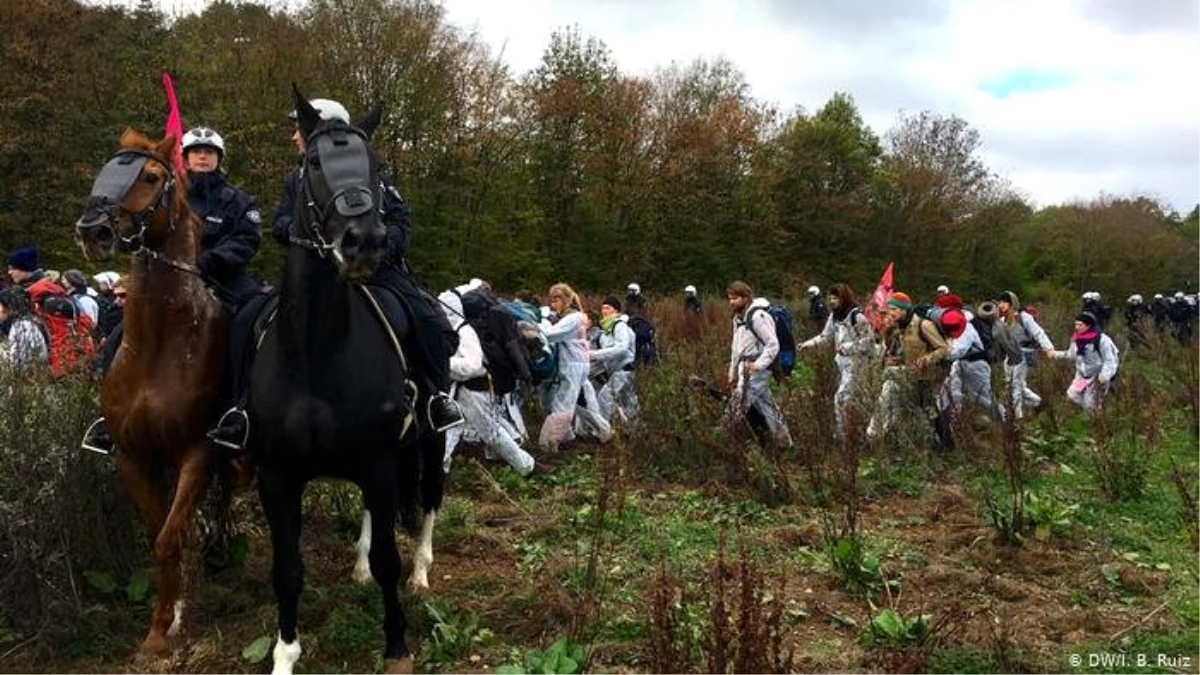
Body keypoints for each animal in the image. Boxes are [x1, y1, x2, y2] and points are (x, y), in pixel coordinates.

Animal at [74, 128, 229, 653]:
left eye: (151, 177)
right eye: (105, 168)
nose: (93, 230)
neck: (159, 346)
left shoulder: (197, 451)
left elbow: (168, 539)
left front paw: (171, 627)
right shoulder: (132, 456)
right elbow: (158, 535)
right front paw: (162, 624)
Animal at [248, 86, 441, 667]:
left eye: (374, 165)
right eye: (313, 162)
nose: (363, 241)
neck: (315, 354)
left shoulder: (377, 462)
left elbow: (388, 560)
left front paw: (396, 646)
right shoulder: (277, 476)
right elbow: (287, 570)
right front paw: (285, 654)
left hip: (430, 442)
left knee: (428, 500)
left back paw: (422, 570)